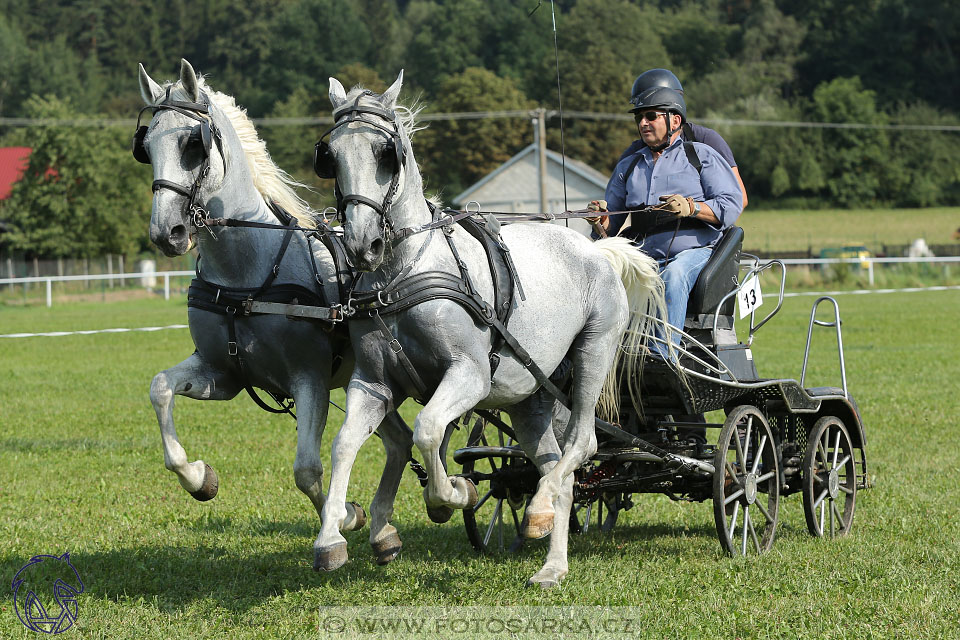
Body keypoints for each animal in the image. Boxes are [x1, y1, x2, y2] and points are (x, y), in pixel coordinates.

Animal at [138, 57, 412, 564]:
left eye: (192, 145)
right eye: (145, 147)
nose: (168, 232)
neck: (247, 273)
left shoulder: (311, 379)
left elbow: (306, 469)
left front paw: (341, 521)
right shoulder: (223, 374)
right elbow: (160, 389)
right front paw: (199, 479)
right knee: (401, 442)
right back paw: (384, 532)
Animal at [312, 72, 664, 588]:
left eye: (385, 153)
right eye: (329, 155)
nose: (362, 245)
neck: (404, 273)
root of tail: (597, 250)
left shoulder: (469, 375)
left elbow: (428, 431)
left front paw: (453, 494)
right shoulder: (373, 383)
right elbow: (344, 445)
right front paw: (331, 539)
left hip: (593, 354)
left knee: (582, 444)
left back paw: (538, 508)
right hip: (530, 396)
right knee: (557, 463)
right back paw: (551, 559)